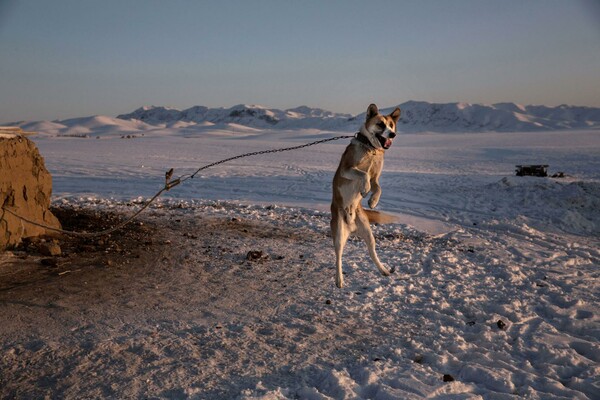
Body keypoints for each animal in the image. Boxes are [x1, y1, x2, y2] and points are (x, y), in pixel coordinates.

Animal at [330, 103, 400, 288]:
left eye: (391, 125)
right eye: (381, 124)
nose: (392, 134)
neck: (370, 149)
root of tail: (351, 225)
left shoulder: (376, 177)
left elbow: (378, 187)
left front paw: (373, 201)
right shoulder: (347, 169)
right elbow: (363, 174)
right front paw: (365, 188)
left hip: (368, 234)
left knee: (372, 253)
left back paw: (383, 270)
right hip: (338, 234)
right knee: (338, 256)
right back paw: (339, 279)